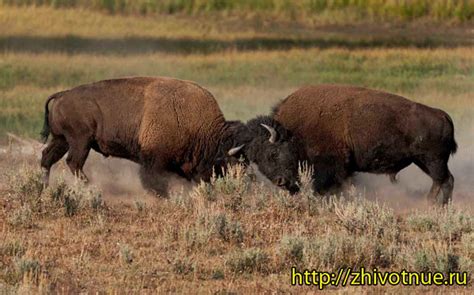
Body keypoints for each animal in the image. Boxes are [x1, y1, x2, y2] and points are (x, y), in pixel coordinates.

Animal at [41, 77, 300, 195]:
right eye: (273, 153)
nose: (289, 183)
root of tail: (63, 94)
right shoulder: (154, 162)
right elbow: (155, 182)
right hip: (80, 141)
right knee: (73, 163)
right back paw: (93, 188)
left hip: (62, 140)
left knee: (47, 158)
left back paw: (44, 187)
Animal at [272, 84, 458, 206]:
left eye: (275, 151)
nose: (280, 181)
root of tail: (442, 115)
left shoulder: (332, 166)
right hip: (423, 161)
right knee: (445, 180)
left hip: (432, 160)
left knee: (442, 180)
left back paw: (432, 204)